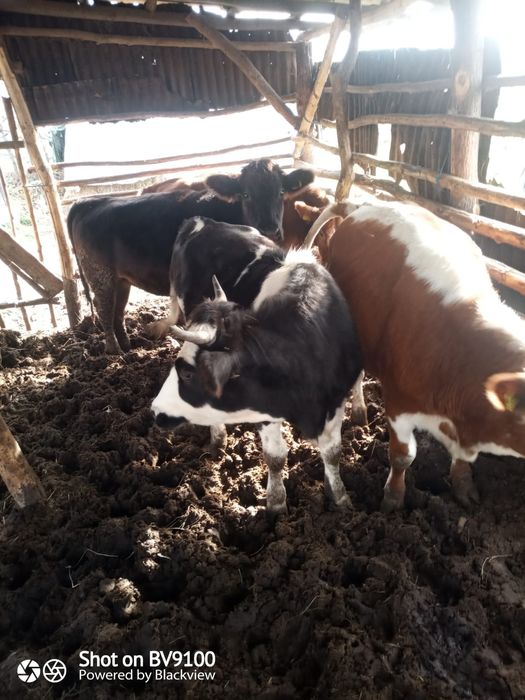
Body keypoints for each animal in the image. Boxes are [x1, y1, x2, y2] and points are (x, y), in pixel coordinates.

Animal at [67, 159, 314, 354]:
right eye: (246, 194)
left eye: (281, 192)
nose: (270, 229)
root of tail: (88, 202)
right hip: (100, 275)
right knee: (104, 309)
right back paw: (114, 351)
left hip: (121, 279)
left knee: (118, 311)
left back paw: (127, 347)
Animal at [151, 217, 363, 514]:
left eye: (188, 373)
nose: (155, 410)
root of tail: (201, 220)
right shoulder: (264, 411)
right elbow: (276, 457)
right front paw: (276, 504)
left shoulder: (335, 401)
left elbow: (333, 453)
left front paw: (340, 498)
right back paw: (219, 438)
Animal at [302, 200, 525, 511]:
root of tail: (364, 205)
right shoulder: (399, 404)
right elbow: (403, 456)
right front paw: (393, 499)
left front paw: (463, 486)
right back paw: (359, 413)